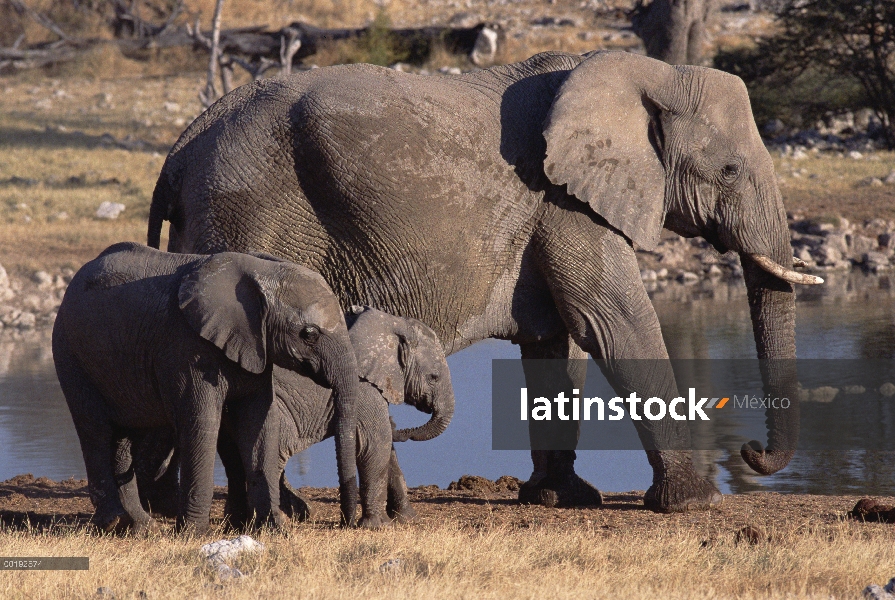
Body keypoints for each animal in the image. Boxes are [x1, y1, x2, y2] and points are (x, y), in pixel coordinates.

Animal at [51, 241, 360, 532]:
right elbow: (202, 422)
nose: (347, 522)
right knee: (95, 429)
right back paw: (114, 522)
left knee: (125, 437)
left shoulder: (256, 348)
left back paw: (141, 528)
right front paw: (194, 533)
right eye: (309, 334)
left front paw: (274, 529)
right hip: (70, 352)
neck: (262, 271)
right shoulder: (186, 346)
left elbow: (257, 424)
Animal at [217, 308, 456, 528]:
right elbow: (375, 443)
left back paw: (235, 524)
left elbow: (385, 447)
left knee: (233, 459)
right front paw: (378, 526)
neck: (390, 324)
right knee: (272, 455)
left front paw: (406, 520)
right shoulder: (364, 387)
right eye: (434, 377)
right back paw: (276, 522)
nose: (399, 425)